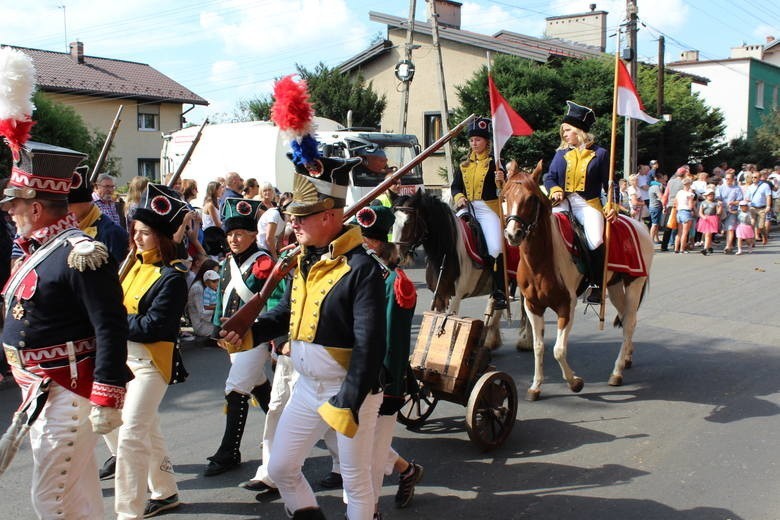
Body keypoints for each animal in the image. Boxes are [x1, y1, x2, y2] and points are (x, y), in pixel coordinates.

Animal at [500, 162, 652, 402]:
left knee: (628, 323)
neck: (543, 259)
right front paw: (535, 386)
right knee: (627, 318)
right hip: (615, 286)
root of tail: (639, 225)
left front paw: (575, 383)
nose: (512, 234)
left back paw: (617, 372)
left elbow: (558, 350)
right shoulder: (533, 306)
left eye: (531, 198)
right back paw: (627, 357)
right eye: (504, 196)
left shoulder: (566, 306)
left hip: (635, 283)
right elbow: (539, 347)